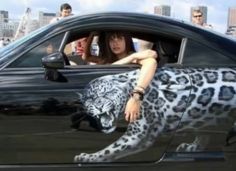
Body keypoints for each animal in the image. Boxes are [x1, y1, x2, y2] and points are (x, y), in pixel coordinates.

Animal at [74, 66, 236, 162]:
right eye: (90, 99)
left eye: (107, 93)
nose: (98, 106)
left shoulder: (138, 134)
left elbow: (111, 148)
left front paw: (88, 157)